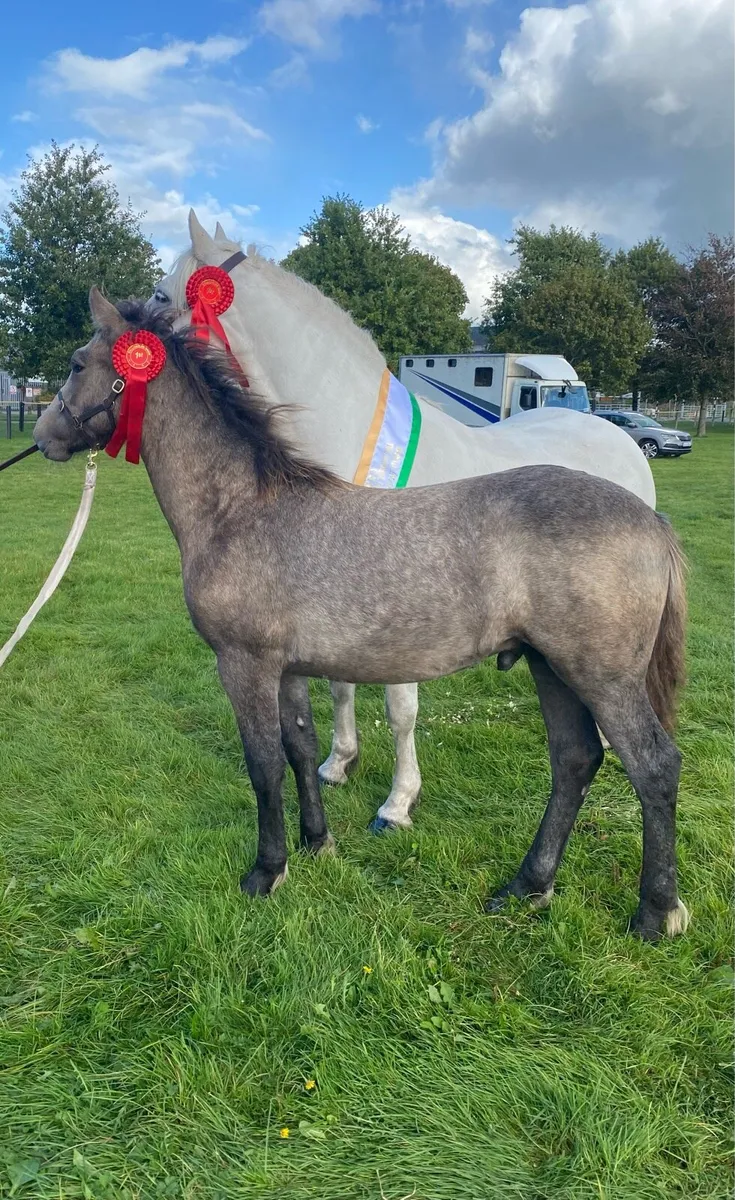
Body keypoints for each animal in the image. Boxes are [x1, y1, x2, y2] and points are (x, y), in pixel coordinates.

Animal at [33, 290, 688, 941]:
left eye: (76, 363)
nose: (43, 436)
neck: (239, 510)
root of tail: (651, 520)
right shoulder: (289, 669)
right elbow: (301, 747)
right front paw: (316, 843)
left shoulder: (243, 665)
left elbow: (263, 765)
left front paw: (267, 871)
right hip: (550, 667)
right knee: (575, 761)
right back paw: (527, 885)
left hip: (601, 677)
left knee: (653, 766)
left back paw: (656, 913)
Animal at [144, 211, 657, 834]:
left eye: (161, 295)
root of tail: (616, 433)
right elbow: (340, 687)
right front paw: (338, 764)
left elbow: (400, 709)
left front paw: (397, 802)